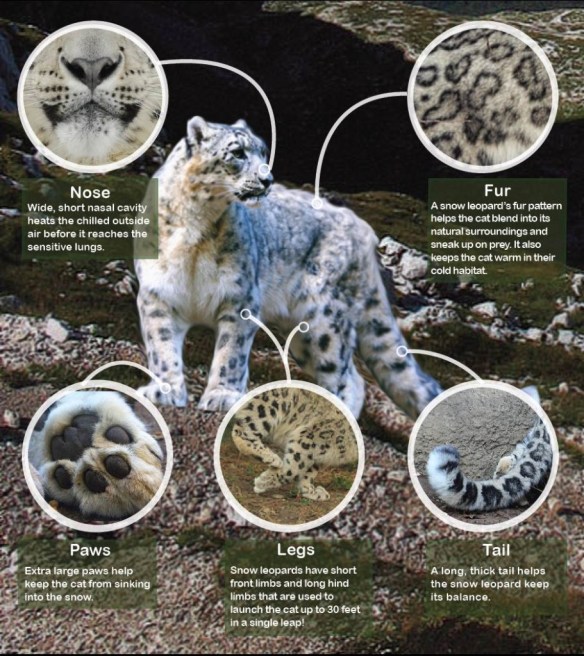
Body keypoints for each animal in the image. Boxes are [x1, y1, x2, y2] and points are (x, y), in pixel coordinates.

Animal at [134, 116, 443, 419]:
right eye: (238, 153)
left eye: (263, 152)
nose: (267, 179)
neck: (195, 226)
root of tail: (362, 227)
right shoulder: (157, 294)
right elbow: (161, 346)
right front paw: (165, 391)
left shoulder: (240, 298)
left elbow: (231, 353)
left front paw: (222, 396)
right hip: (302, 333)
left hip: (323, 317)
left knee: (348, 377)